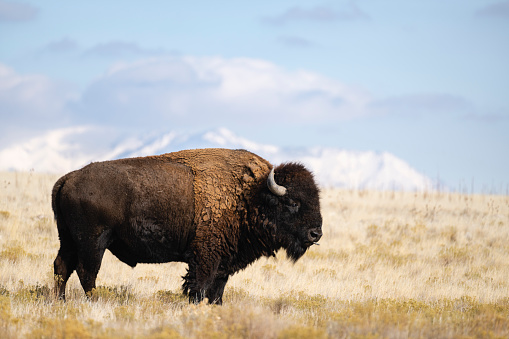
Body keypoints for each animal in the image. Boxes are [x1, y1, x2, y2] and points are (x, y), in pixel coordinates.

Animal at [52, 149, 322, 306]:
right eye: (293, 202)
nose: (315, 234)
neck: (250, 194)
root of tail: (69, 178)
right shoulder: (205, 258)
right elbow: (199, 287)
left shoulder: (224, 262)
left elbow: (217, 291)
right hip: (93, 242)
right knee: (86, 272)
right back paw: (94, 302)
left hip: (68, 239)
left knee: (62, 267)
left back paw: (60, 302)